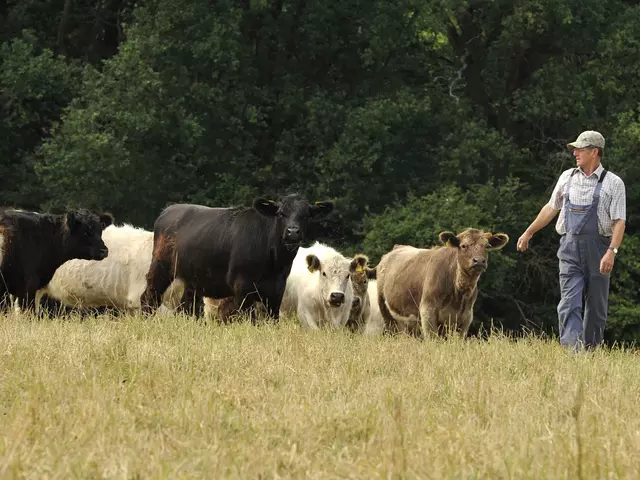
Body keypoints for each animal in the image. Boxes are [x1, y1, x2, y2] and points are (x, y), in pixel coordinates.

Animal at [140, 193, 336, 320]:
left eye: (306, 215)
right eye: (281, 213)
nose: (293, 232)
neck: (273, 263)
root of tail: (168, 210)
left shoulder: (276, 291)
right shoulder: (242, 287)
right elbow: (248, 319)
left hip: (194, 279)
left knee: (186, 307)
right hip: (160, 267)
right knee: (150, 296)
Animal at [376, 228, 510, 338]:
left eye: (487, 246)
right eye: (463, 246)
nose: (479, 261)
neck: (458, 292)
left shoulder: (465, 317)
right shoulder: (427, 311)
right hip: (386, 313)